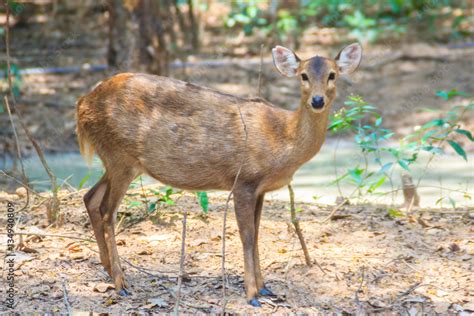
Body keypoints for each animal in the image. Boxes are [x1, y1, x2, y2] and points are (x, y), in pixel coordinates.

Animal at [75, 43, 362, 308]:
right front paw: (252, 294)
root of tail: (82, 104)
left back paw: (108, 269)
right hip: (120, 155)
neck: (282, 138)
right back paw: (121, 283)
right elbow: (247, 236)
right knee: (107, 211)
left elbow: (257, 233)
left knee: (90, 198)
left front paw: (265, 287)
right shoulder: (244, 180)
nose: (317, 101)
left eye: (332, 74)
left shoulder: (260, 189)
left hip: (117, 160)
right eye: (303, 75)